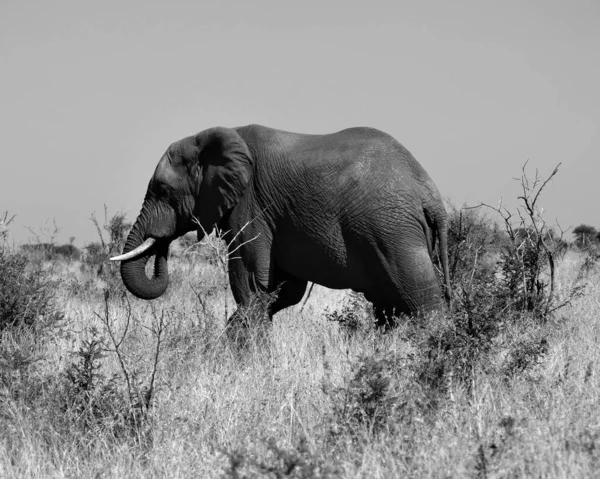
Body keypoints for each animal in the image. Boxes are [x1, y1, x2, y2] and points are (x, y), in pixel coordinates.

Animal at [111, 124, 450, 328]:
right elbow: (284, 288)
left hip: (392, 229)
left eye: (162, 191)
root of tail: (430, 193)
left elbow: (251, 280)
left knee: (421, 299)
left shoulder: (251, 204)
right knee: (388, 306)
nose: (162, 243)